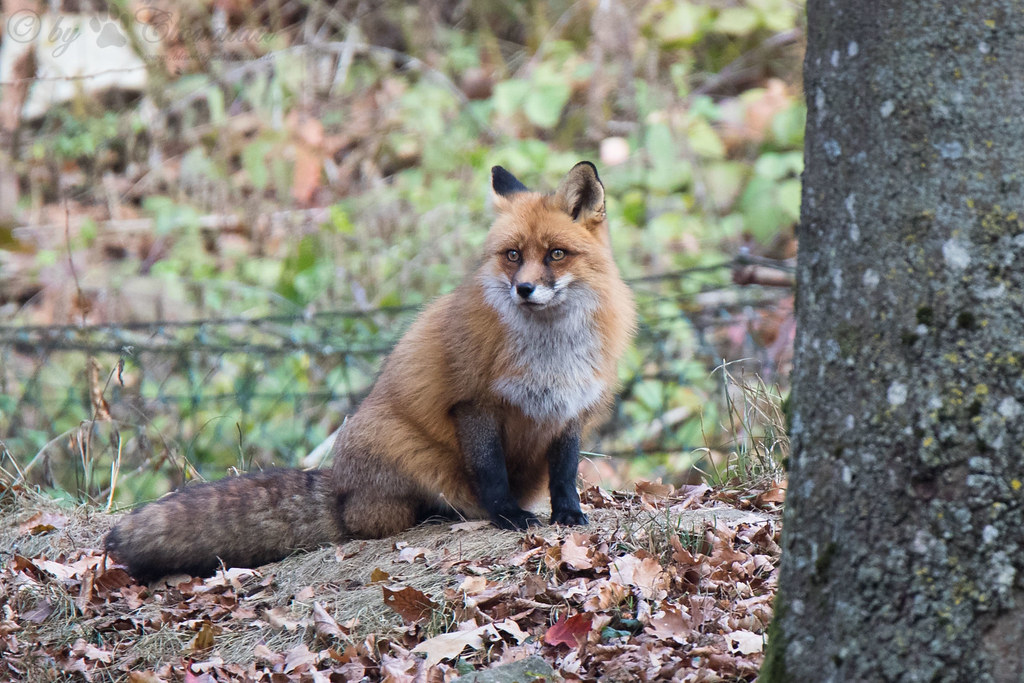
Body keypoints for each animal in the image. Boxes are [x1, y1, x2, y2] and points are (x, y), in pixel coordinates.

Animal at [105, 161, 636, 582]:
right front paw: (507, 516)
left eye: (555, 254)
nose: (523, 289)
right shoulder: (475, 402)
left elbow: (565, 472)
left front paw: (568, 515)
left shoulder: (572, 404)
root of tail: (339, 488)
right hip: (403, 449)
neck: (551, 352)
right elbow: (491, 474)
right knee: (377, 521)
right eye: (513, 255)